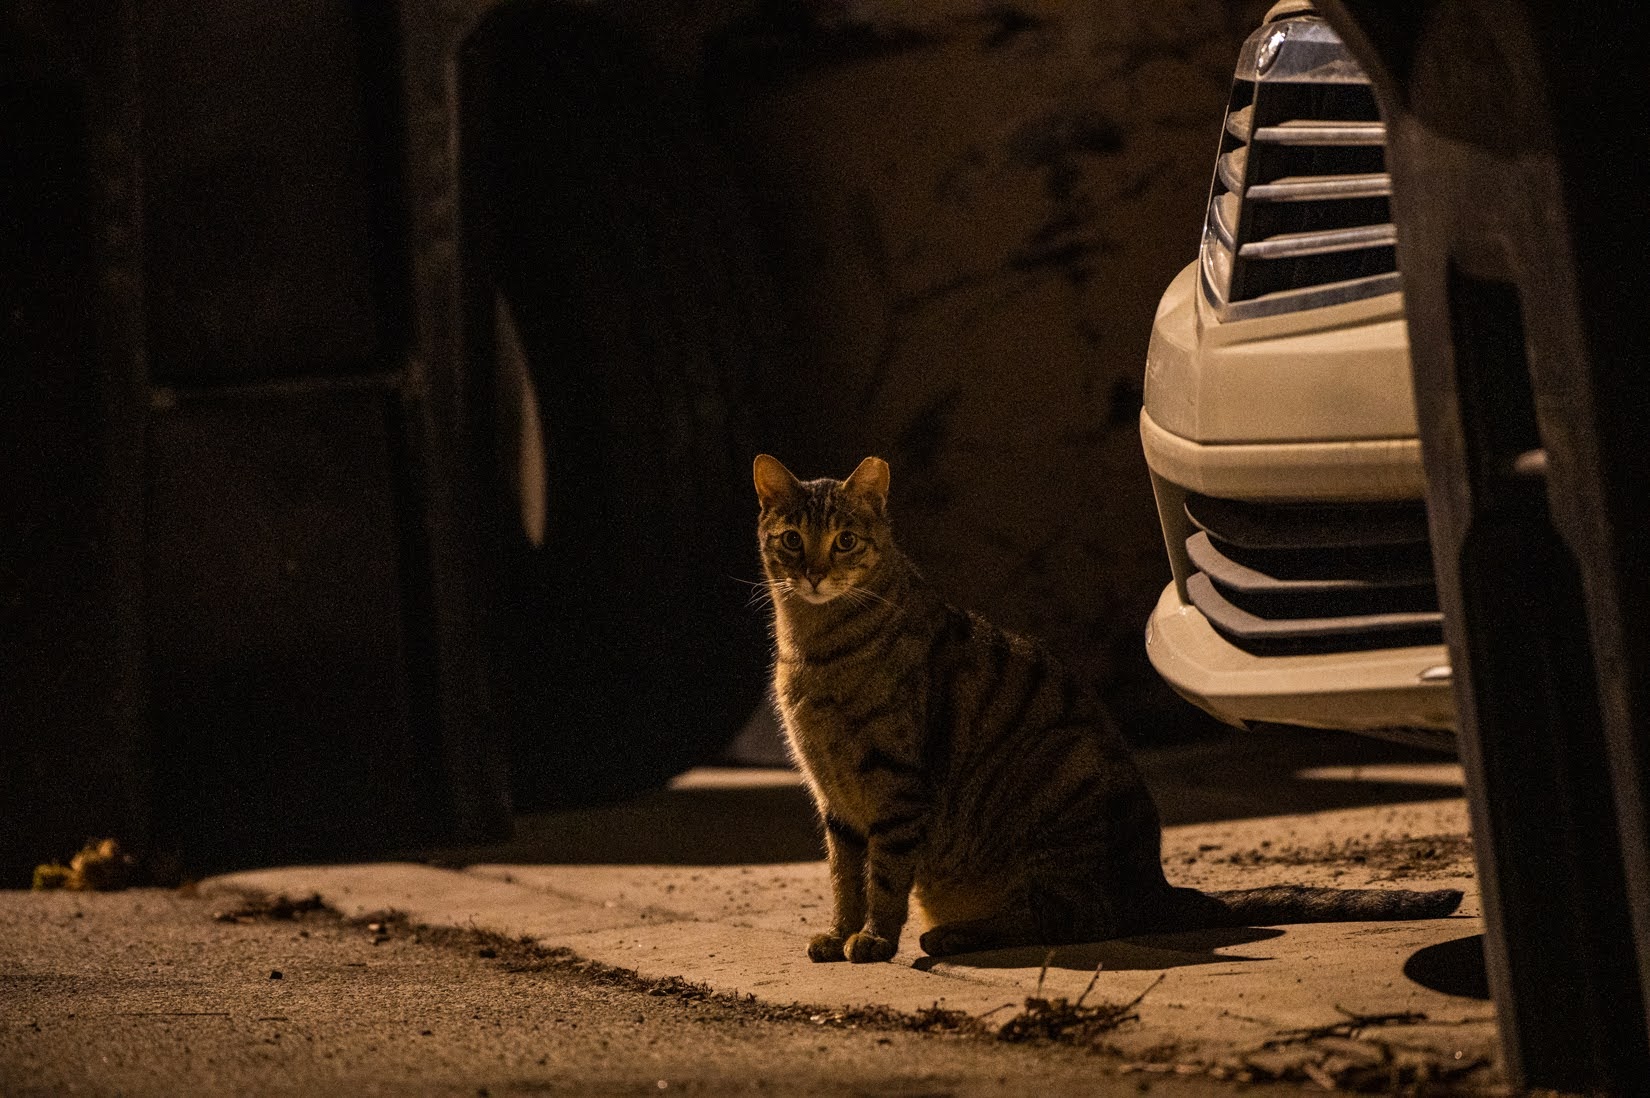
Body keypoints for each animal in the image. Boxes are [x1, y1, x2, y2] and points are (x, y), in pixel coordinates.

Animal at [755, 452, 1465, 957]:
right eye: (791, 540)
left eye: (845, 542)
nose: (813, 572)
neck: (813, 649)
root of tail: (1155, 884)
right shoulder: (834, 799)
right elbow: (844, 877)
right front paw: (839, 932)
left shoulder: (896, 787)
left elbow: (882, 879)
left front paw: (873, 940)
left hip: (1053, 828)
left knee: (1074, 920)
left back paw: (955, 936)